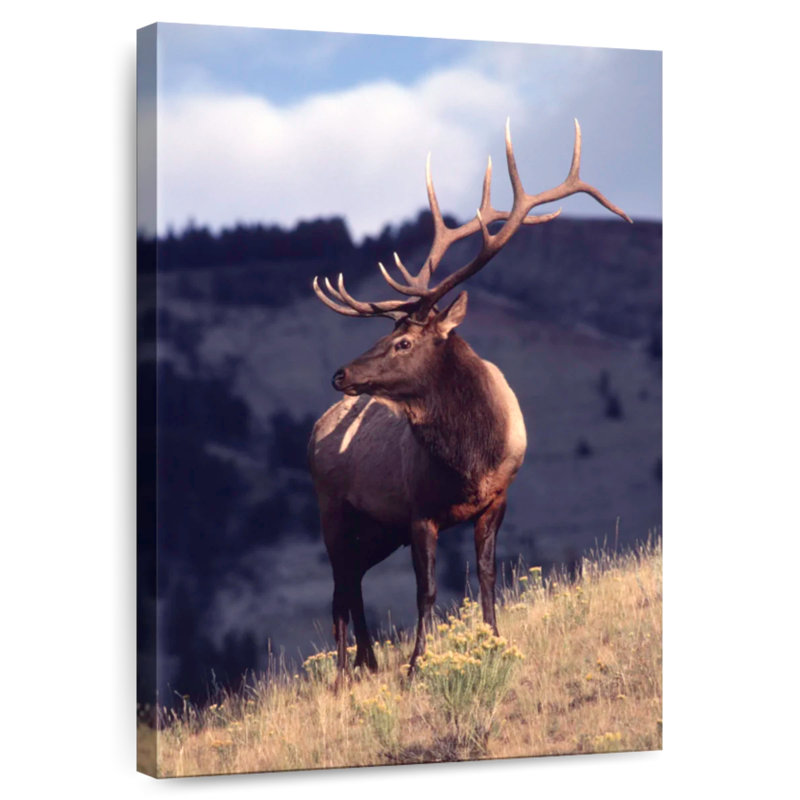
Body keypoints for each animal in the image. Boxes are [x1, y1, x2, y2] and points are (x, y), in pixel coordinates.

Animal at [308, 120, 631, 683]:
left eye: (403, 342)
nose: (340, 374)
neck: (470, 460)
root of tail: (313, 433)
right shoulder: (419, 511)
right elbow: (427, 592)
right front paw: (417, 665)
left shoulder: (496, 499)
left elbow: (486, 577)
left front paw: (494, 643)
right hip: (333, 509)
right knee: (339, 589)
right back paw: (345, 674)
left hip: (377, 528)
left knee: (353, 584)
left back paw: (368, 663)